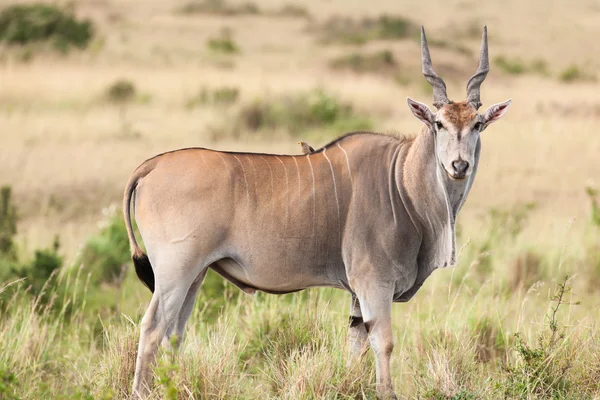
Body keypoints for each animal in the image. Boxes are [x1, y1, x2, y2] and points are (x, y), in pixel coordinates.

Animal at [123, 26, 510, 398]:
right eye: (439, 124)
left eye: (477, 124)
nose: (459, 165)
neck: (400, 180)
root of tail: (151, 165)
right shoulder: (375, 283)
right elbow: (383, 344)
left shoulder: (359, 295)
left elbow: (356, 345)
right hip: (176, 271)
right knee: (153, 327)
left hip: (196, 274)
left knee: (175, 332)